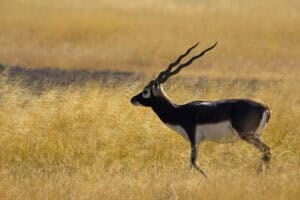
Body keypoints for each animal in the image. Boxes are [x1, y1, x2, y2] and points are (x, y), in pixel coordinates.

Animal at [130, 42, 270, 177]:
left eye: (145, 91)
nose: (133, 99)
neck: (178, 111)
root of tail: (265, 107)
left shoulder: (194, 138)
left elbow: (193, 162)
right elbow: (192, 163)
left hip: (247, 135)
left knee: (267, 150)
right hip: (257, 135)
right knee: (265, 152)